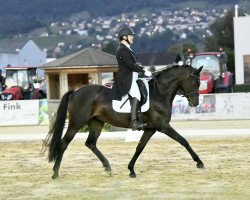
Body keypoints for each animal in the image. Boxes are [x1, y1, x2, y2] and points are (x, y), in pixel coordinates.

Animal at [43, 64, 203, 178]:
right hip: (76, 123)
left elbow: (139, 147)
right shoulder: (163, 126)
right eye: (195, 82)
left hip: (96, 123)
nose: (195, 103)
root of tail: (75, 92)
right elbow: (183, 141)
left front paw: (131, 170)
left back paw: (107, 168)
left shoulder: (151, 128)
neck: (159, 93)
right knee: (64, 143)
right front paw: (199, 163)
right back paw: (55, 173)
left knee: (90, 143)